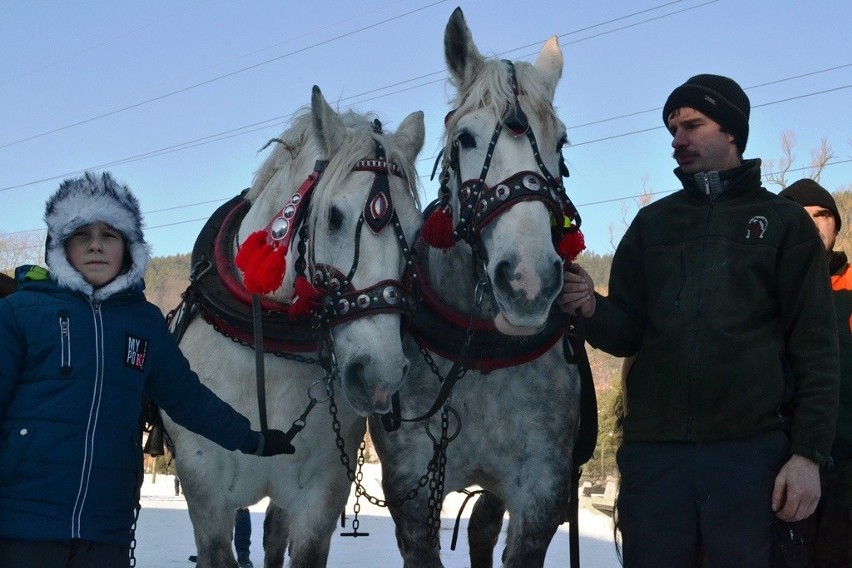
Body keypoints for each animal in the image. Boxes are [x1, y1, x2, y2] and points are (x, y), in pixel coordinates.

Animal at [370, 7, 588, 564]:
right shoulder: (413, 492)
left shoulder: (541, 489)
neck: (482, 357)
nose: (529, 281)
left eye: (560, 142)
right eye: (466, 138)